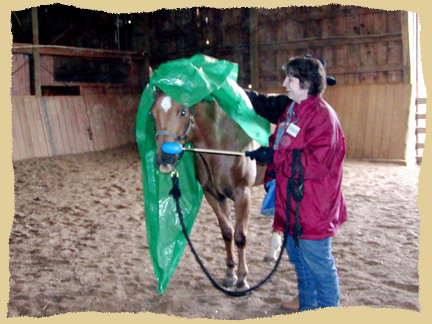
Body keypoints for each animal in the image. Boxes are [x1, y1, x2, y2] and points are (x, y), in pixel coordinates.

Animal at [150, 87, 268, 290]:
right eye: (152, 113)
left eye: (183, 112)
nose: (164, 160)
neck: (220, 145)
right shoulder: (213, 194)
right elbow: (227, 232)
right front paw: (230, 274)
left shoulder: (243, 194)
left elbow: (240, 237)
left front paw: (242, 278)